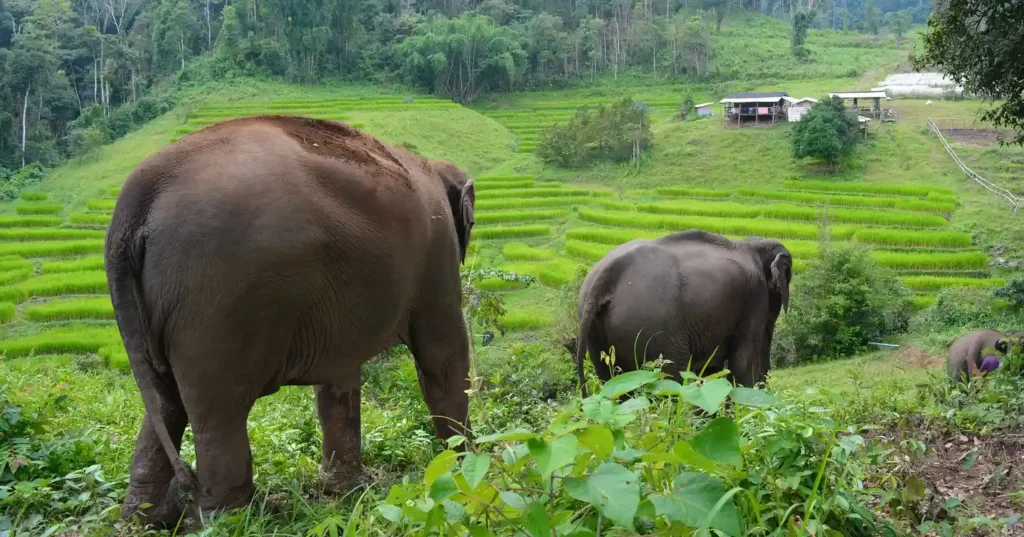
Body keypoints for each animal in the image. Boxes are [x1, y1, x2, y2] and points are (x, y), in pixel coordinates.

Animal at [105, 116, 476, 527]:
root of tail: (137, 197)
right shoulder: (437, 251)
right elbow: (442, 356)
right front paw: (463, 465)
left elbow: (338, 378)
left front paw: (345, 491)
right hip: (218, 299)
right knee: (219, 411)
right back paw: (230, 519)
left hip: (158, 306)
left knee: (165, 402)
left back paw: (145, 519)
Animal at [572, 230, 792, 397]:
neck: (754, 243)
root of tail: (604, 277)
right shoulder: (755, 298)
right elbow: (743, 362)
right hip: (655, 329)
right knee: (672, 378)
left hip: (596, 330)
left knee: (611, 381)